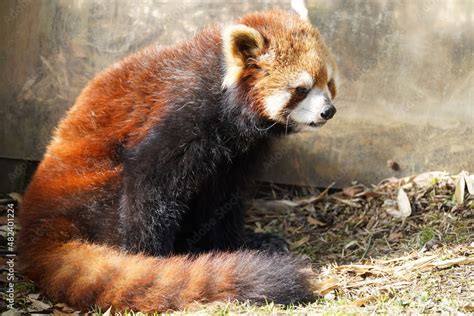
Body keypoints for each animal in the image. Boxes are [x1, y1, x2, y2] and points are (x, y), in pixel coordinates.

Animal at [18, 9, 336, 312]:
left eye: (329, 83)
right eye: (301, 89)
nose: (328, 111)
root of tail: (39, 225)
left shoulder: (235, 155)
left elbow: (221, 201)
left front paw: (237, 242)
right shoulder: (182, 112)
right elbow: (149, 183)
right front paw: (151, 261)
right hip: (95, 185)